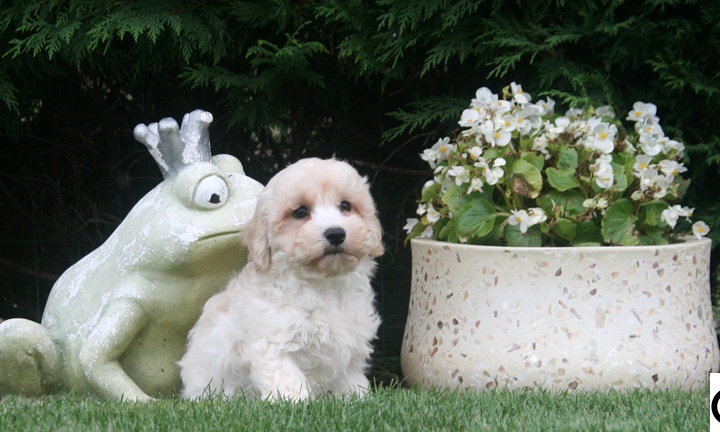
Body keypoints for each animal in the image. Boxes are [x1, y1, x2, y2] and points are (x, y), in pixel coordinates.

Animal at [178, 159, 386, 402]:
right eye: (300, 212)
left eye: (346, 205)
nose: (335, 233)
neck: (323, 283)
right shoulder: (273, 342)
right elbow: (286, 380)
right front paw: (297, 403)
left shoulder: (351, 347)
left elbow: (351, 381)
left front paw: (357, 399)